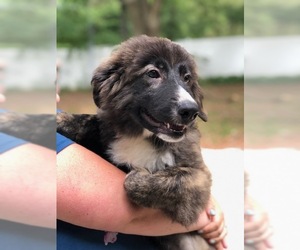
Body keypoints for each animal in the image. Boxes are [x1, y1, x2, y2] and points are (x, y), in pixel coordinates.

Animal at [57, 35, 213, 250]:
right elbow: (91, 122)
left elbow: (172, 179)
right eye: (153, 73)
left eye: (187, 78)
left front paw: (139, 176)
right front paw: (61, 120)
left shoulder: (200, 178)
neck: (142, 137)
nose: (191, 110)